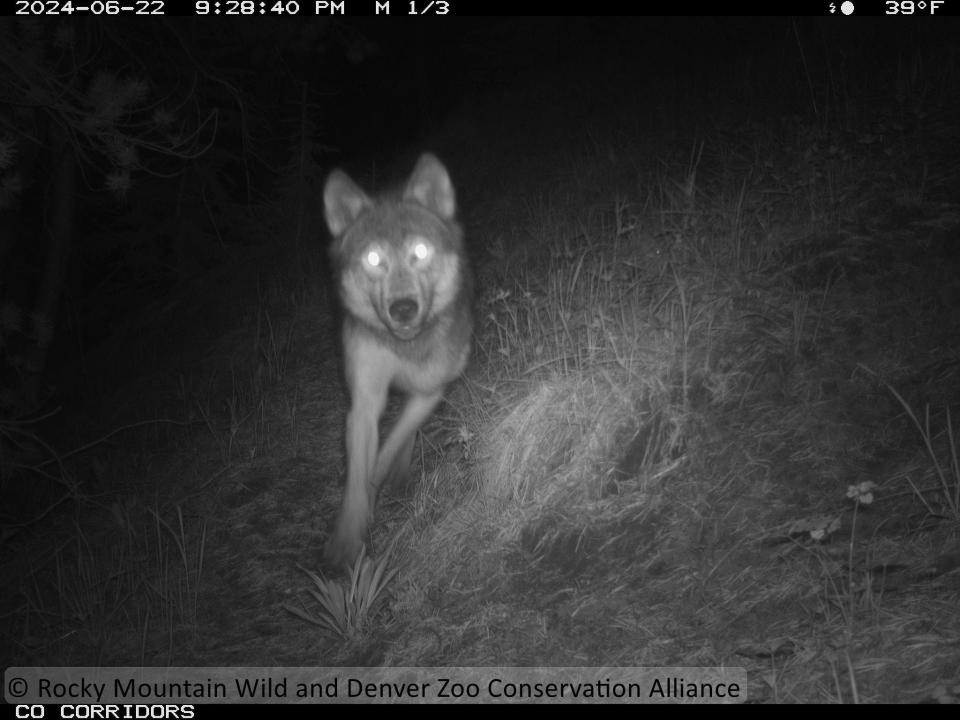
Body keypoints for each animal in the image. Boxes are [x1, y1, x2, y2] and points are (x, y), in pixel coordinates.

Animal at [322, 155, 472, 572]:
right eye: (374, 259)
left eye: (420, 251)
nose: (403, 308)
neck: (405, 348)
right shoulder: (364, 402)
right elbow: (358, 476)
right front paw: (347, 539)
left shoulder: (431, 390)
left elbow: (388, 448)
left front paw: (382, 478)